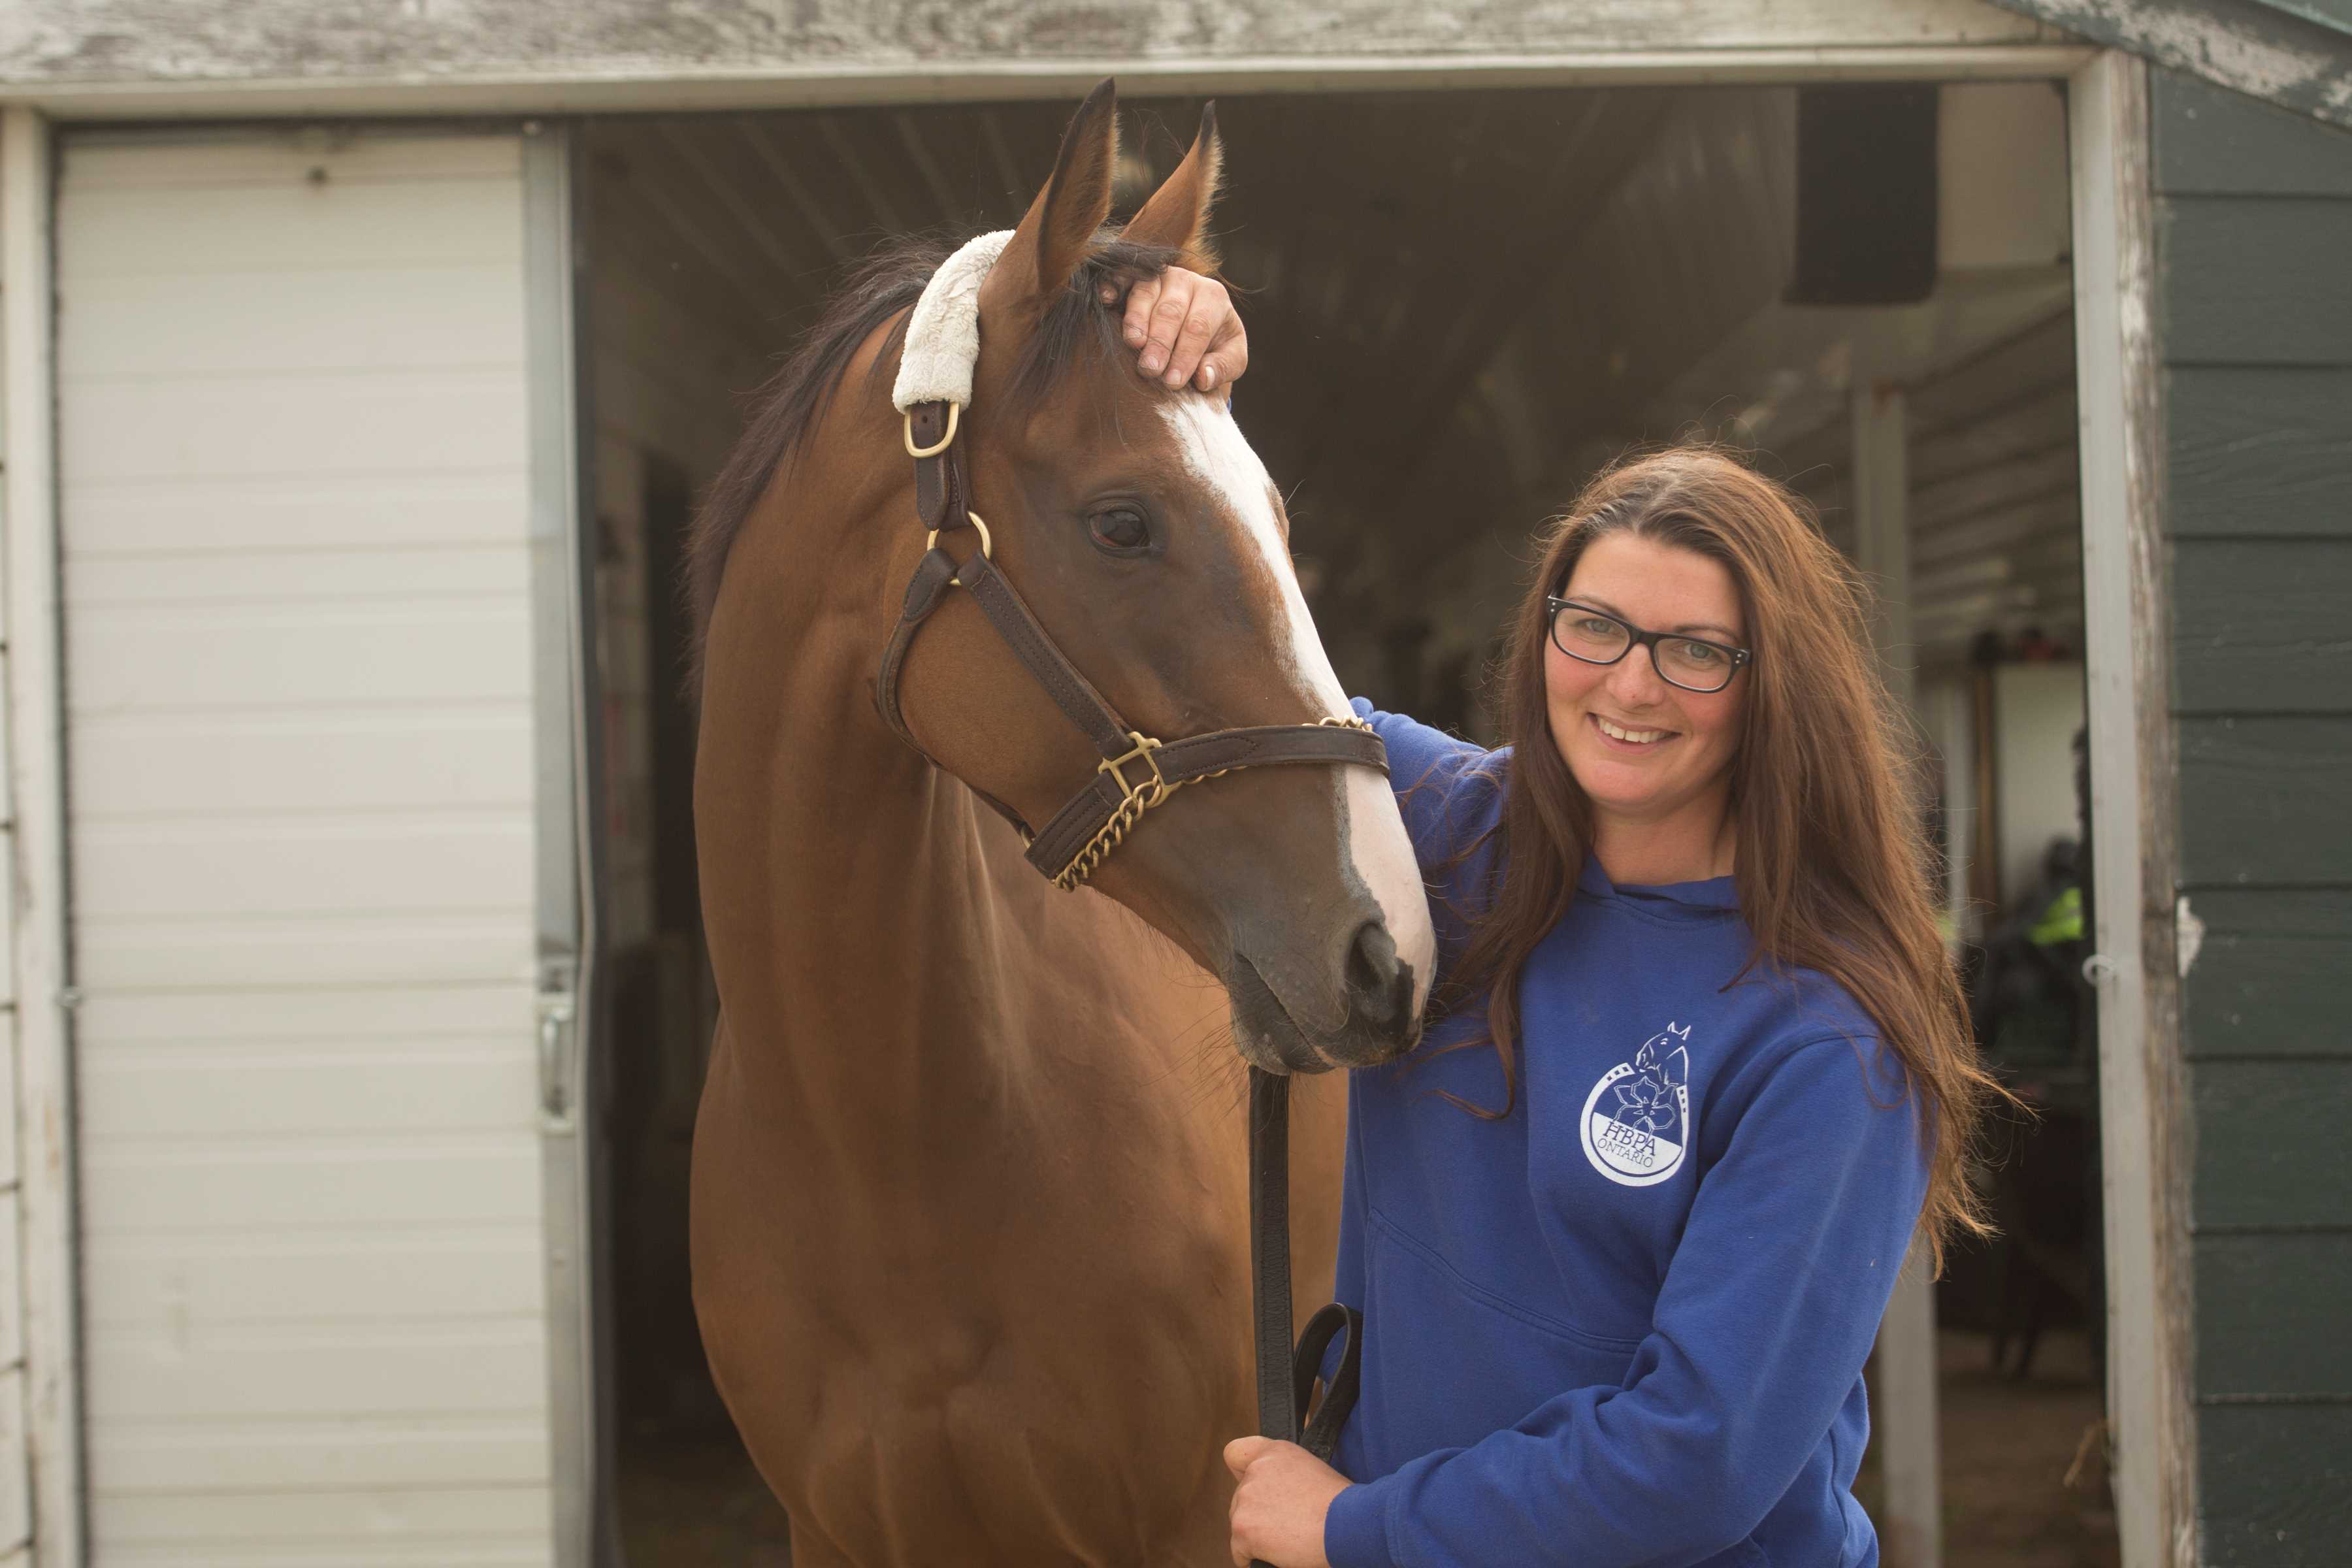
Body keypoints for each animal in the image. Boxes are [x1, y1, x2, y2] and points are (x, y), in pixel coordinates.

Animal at [687, 88, 1429, 1568]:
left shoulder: (1195, 1521)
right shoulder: (831, 1531)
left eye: (1278, 521)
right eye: (1123, 522)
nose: (1387, 946)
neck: (882, 1161)